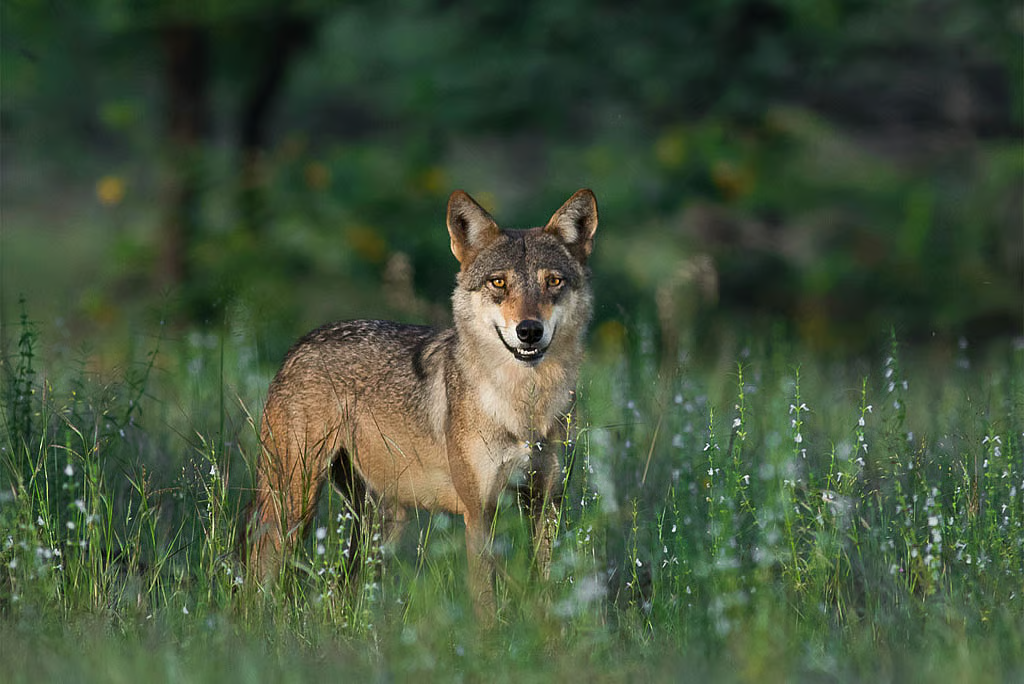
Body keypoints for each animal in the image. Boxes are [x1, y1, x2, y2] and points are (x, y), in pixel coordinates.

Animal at [247, 188, 598, 617]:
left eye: (553, 282)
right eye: (498, 282)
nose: (529, 330)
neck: (524, 406)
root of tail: (300, 344)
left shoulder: (545, 503)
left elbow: (545, 588)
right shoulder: (478, 513)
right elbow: (486, 602)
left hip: (382, 523)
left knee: (346, 588)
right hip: (292, 504)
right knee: (258, 572)